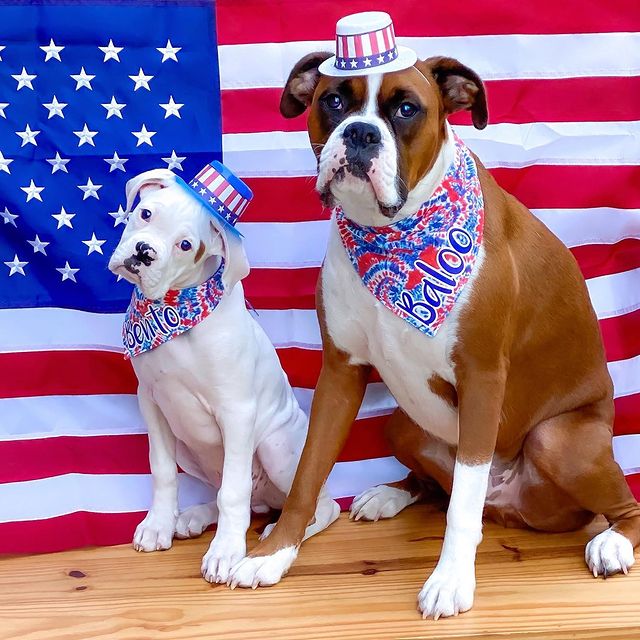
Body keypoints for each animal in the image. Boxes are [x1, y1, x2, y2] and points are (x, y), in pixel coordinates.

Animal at [109, 166, 340, 584]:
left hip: (276, 447)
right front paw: (157, 525)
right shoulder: (151, 400)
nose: (143, 252)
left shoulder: (236, 411)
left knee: (318, 503)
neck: (174, 312)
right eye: (146, 213)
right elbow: (162, 470)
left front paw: (226, 552)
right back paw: (195, 517)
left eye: (186, 245)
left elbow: (232, 491)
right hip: (190, 449)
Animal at [226, 11, 640, 620]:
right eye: (332, 101)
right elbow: (307, 472)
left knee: (614, 502)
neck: (391, 235)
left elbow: (462, 504)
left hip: (557, 442)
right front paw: (274, 553)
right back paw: (391, 494)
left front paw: (450, 579)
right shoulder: (340, 374)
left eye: (406, 109)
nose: (361, 133)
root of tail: (509, 504)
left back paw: (612, 542)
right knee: (434, 484)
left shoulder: (482, 379)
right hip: (401, 422)